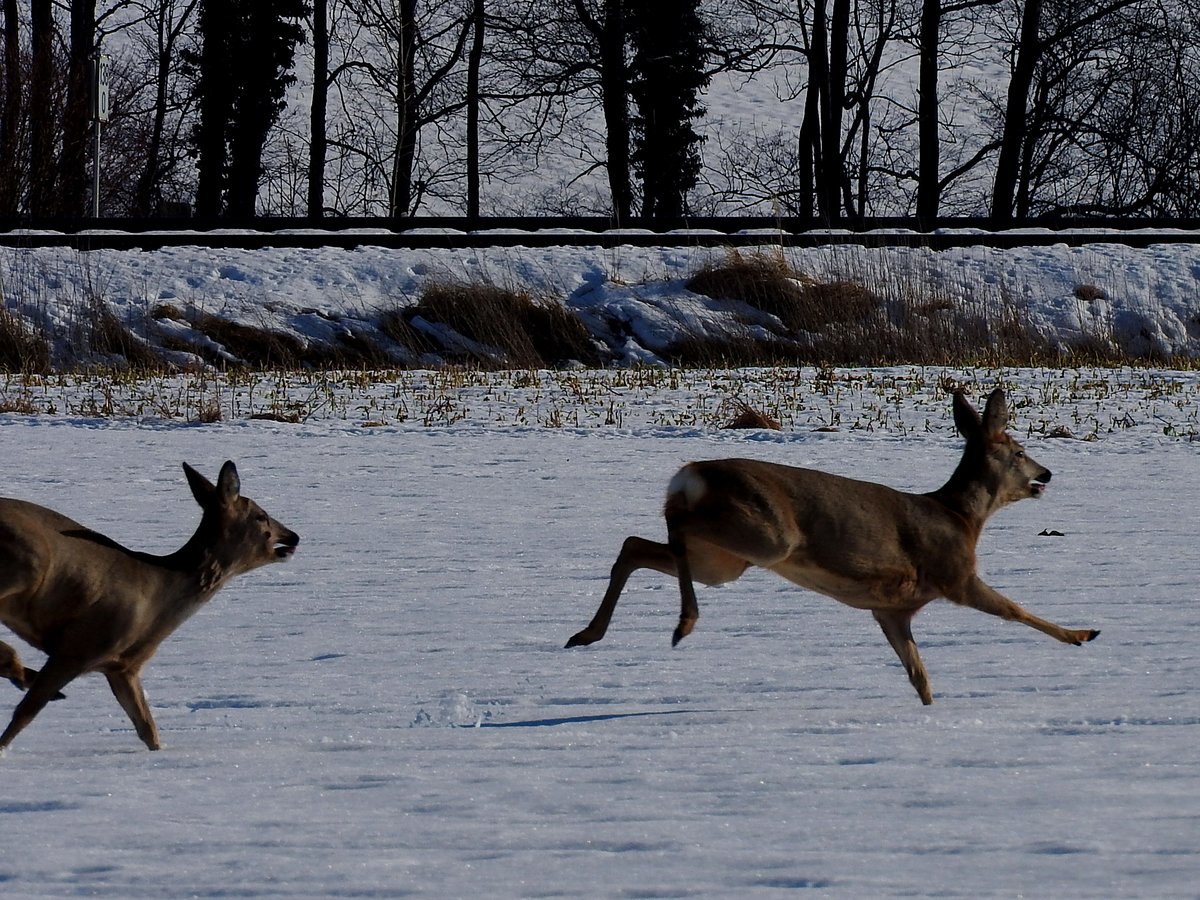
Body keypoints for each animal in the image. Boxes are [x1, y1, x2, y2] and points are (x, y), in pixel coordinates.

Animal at [0, 460, 297, 748]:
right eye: (261, 516)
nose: (293, 536)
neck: (160, 600)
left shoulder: (124, 668)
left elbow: (148, 729)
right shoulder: (79, 646)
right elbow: (27, 711)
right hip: (28, 562)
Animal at [566, 388, 1099, 705]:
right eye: (1020, 451)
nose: (1047, 474)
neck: (963, 519)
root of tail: (691, 474)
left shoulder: (891, 609)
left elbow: (918, 672)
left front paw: (929, 711)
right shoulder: (955, 573)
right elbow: (1013, 609)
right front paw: (1082, 634)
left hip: (725, 560)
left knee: (636, 544)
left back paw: (588, 634)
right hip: (767, 537)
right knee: (666, 531)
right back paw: (684, 622)